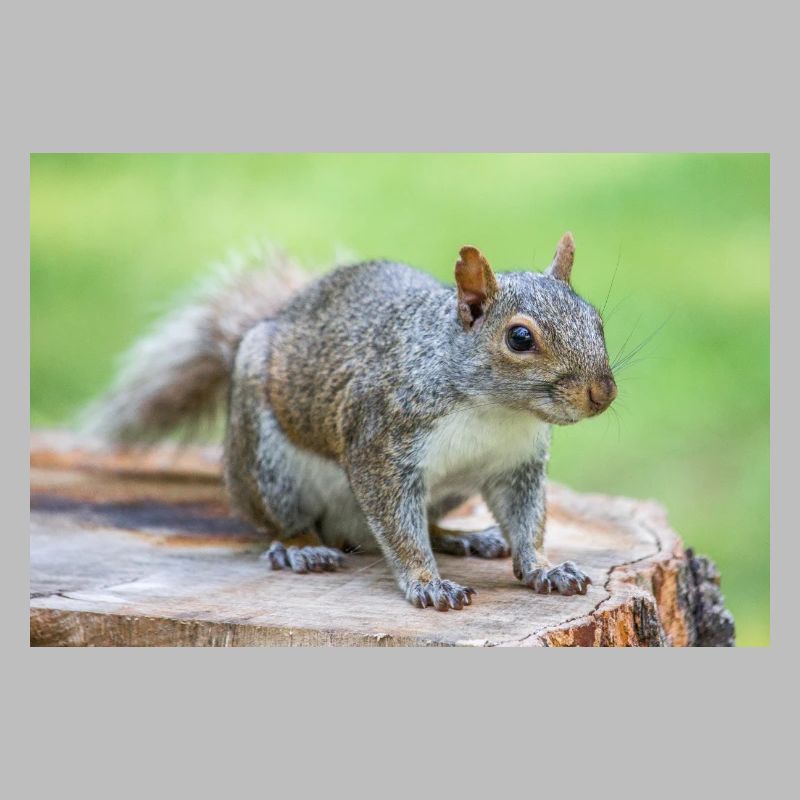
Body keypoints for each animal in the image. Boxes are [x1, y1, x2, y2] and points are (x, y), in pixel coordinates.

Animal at [89, 233, 617, 611]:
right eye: (520, 338)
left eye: (597, 320)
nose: (603, 394)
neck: (495, 411)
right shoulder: (380, 444)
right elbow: (398, 528)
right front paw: (427, 583)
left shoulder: (516, 465)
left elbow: (527, 521)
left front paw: (544, 568)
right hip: (267, 465)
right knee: (285, 521)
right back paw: (302, 548)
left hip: (449, 491)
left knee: (416, 523)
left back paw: (461, 537)